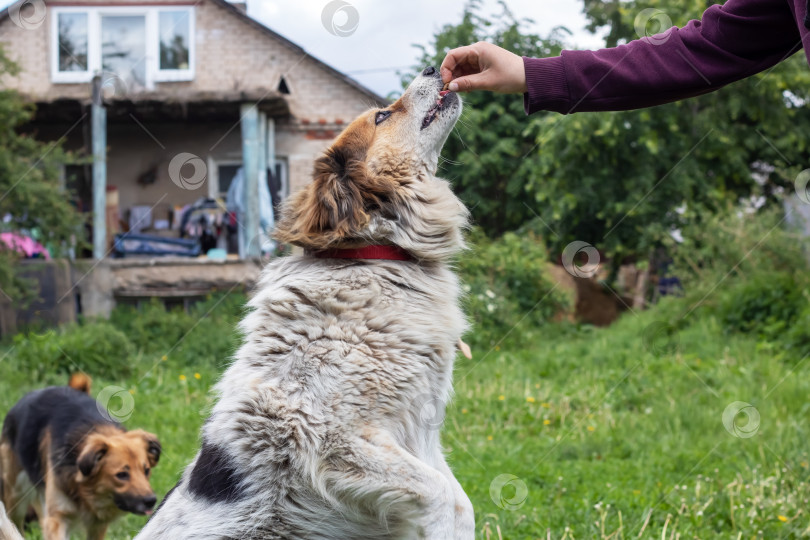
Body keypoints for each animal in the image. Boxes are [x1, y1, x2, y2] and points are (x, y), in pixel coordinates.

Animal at [0, 376, 159, 540]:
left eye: (146, 470)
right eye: (121, 474)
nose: (151, 501)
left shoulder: (97, 525)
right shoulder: (57, 517)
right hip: (16, 496)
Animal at [136, 65, 470, 536]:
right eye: (382, 116)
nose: (430, 68)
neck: (373, 257)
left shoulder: (419, 430)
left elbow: (461, 503)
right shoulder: (332, 438)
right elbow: (443, 497)